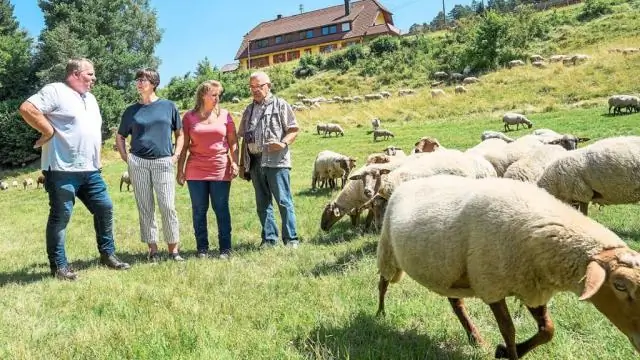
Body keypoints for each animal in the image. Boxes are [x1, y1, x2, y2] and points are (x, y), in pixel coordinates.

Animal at [376, 174, 640, 358]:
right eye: (620, 286)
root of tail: (408, 182)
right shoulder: (492, 284)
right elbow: (509, 330)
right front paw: (507, 351)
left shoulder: (531, 286)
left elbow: (548, 330)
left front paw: (503, 351)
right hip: (388, 249)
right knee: (383, 283)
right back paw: (380, 314)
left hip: (447, 270)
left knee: (456, 304)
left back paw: (475, 337)